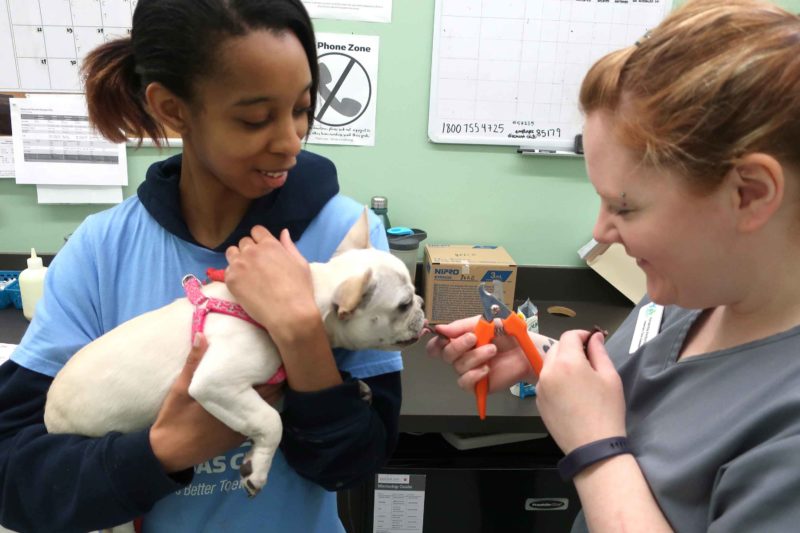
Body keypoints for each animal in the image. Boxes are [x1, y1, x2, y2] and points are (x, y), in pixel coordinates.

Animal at [43, 208, 424, 498]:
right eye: (404, 305)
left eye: (413, 298)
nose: (421, 305)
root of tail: (49, 414)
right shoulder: (216, 384)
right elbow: (270, 421)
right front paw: (258, 469)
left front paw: (353, 384)